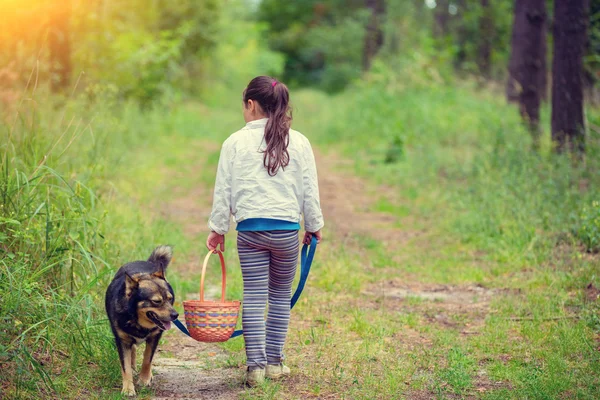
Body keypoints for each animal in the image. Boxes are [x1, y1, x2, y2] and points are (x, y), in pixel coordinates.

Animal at [105, 245, 178, 396]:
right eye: (156, 301)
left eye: (170, 299)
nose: (176, 315)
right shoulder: (122, 341)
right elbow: (125, 367)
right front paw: (128, 388)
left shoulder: (155, 337)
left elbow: (147, 359)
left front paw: (144, 379)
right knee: (132, 351)